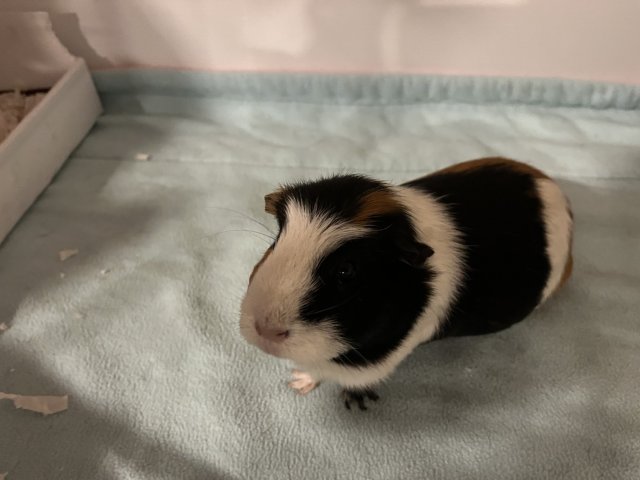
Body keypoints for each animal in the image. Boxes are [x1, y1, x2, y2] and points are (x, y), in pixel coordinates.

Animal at [240, 157, 573, 410]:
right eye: (276, 243)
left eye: (346, 270)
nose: (264, 329)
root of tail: (557, 195)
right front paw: (297, 382)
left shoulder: (372, 362)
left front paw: (350, 402)